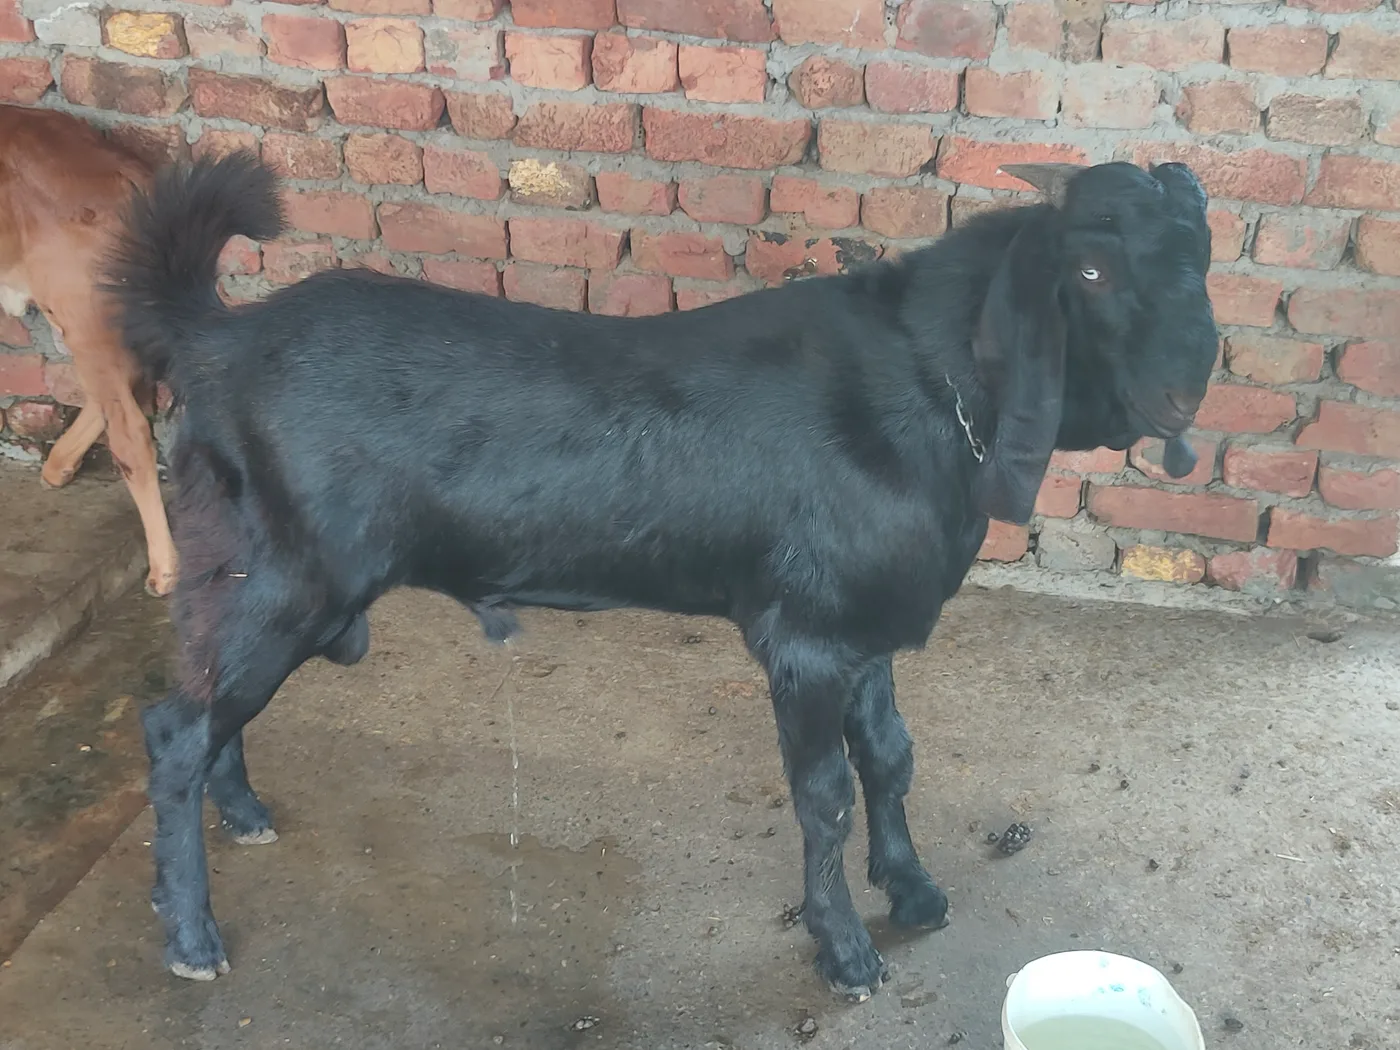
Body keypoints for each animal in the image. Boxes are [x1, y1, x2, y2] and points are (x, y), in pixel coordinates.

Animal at [104, 152, 1218, 996]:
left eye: (1200, 257)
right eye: (1088, 273)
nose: (1186, 388)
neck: (925, 391)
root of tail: (217, 337)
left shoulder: (864, 630)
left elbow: (891, 760)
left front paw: (912, 891)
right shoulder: (804, 638)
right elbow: (823, 793)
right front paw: (847, 951)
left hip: (247, 574)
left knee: (210, 706)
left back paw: (244, 815)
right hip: (288, 575)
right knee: (173, 730)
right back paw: (192, 938)